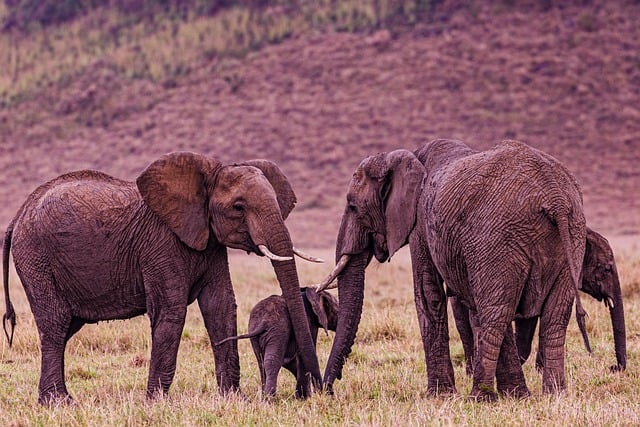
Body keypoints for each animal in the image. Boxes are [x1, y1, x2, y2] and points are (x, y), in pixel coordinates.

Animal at [3, 152, 324, 406]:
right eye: (238, 207)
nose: (319, 389)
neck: (205, 180)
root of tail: (17, 216)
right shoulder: (161, 244)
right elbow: (171, 311)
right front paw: (157, 403)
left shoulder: (210, 243)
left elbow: (220, 306)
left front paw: (234, 400)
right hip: (36, 260)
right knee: (55, 324)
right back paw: (59, 403)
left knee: (65, 327)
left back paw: (56, 400)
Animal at [320, 140, 592, 402]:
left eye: (353, 206)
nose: (328, 390)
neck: (404, 156)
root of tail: (555, 198)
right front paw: (516, 396)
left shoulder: (421, 225)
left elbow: (428, 294)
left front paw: (439, 396)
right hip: (572, 235)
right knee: (554, 317)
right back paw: (554, 395)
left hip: (499, 239)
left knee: (496, 313)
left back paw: (479, 398)